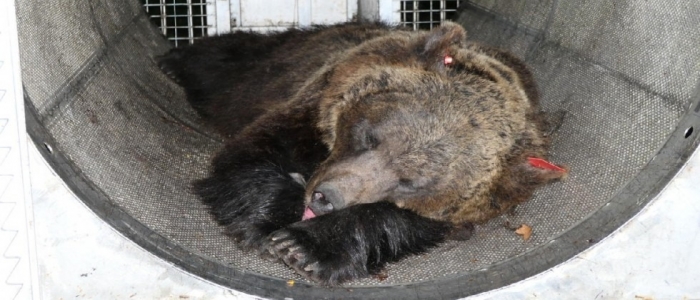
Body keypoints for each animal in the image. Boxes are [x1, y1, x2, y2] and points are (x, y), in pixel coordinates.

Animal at [160, 21, 568, 286]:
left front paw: (302, 246)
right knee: (229, 62)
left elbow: (396, 221)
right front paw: (272, 220)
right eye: (370, 136)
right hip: (272, 68)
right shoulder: (308, 107)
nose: (325, 197)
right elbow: (251, 155)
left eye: (408, 182)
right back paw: (175, 59)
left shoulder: (474, 204)